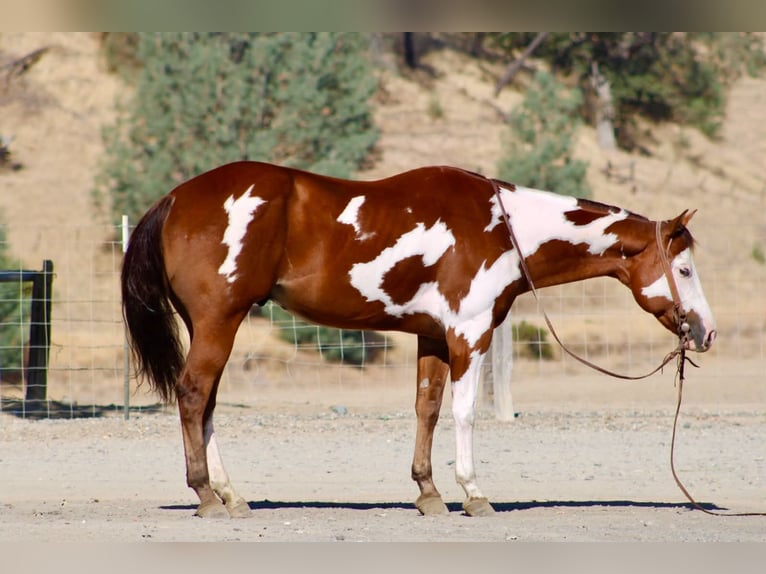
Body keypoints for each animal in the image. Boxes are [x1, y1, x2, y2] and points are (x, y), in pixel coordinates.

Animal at [121, 161, 717, 519]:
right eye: (684, 269)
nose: (706, 332)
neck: (505, 227)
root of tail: (175, 198)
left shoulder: (432, 337)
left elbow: (427, 409)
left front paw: (429, 493)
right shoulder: (469, 333)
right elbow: (465, 411)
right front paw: (473, 494)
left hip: (211, 324)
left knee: (206, 403)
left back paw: (230, 494)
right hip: (219, 322)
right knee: (194, 394)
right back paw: (206, 495)